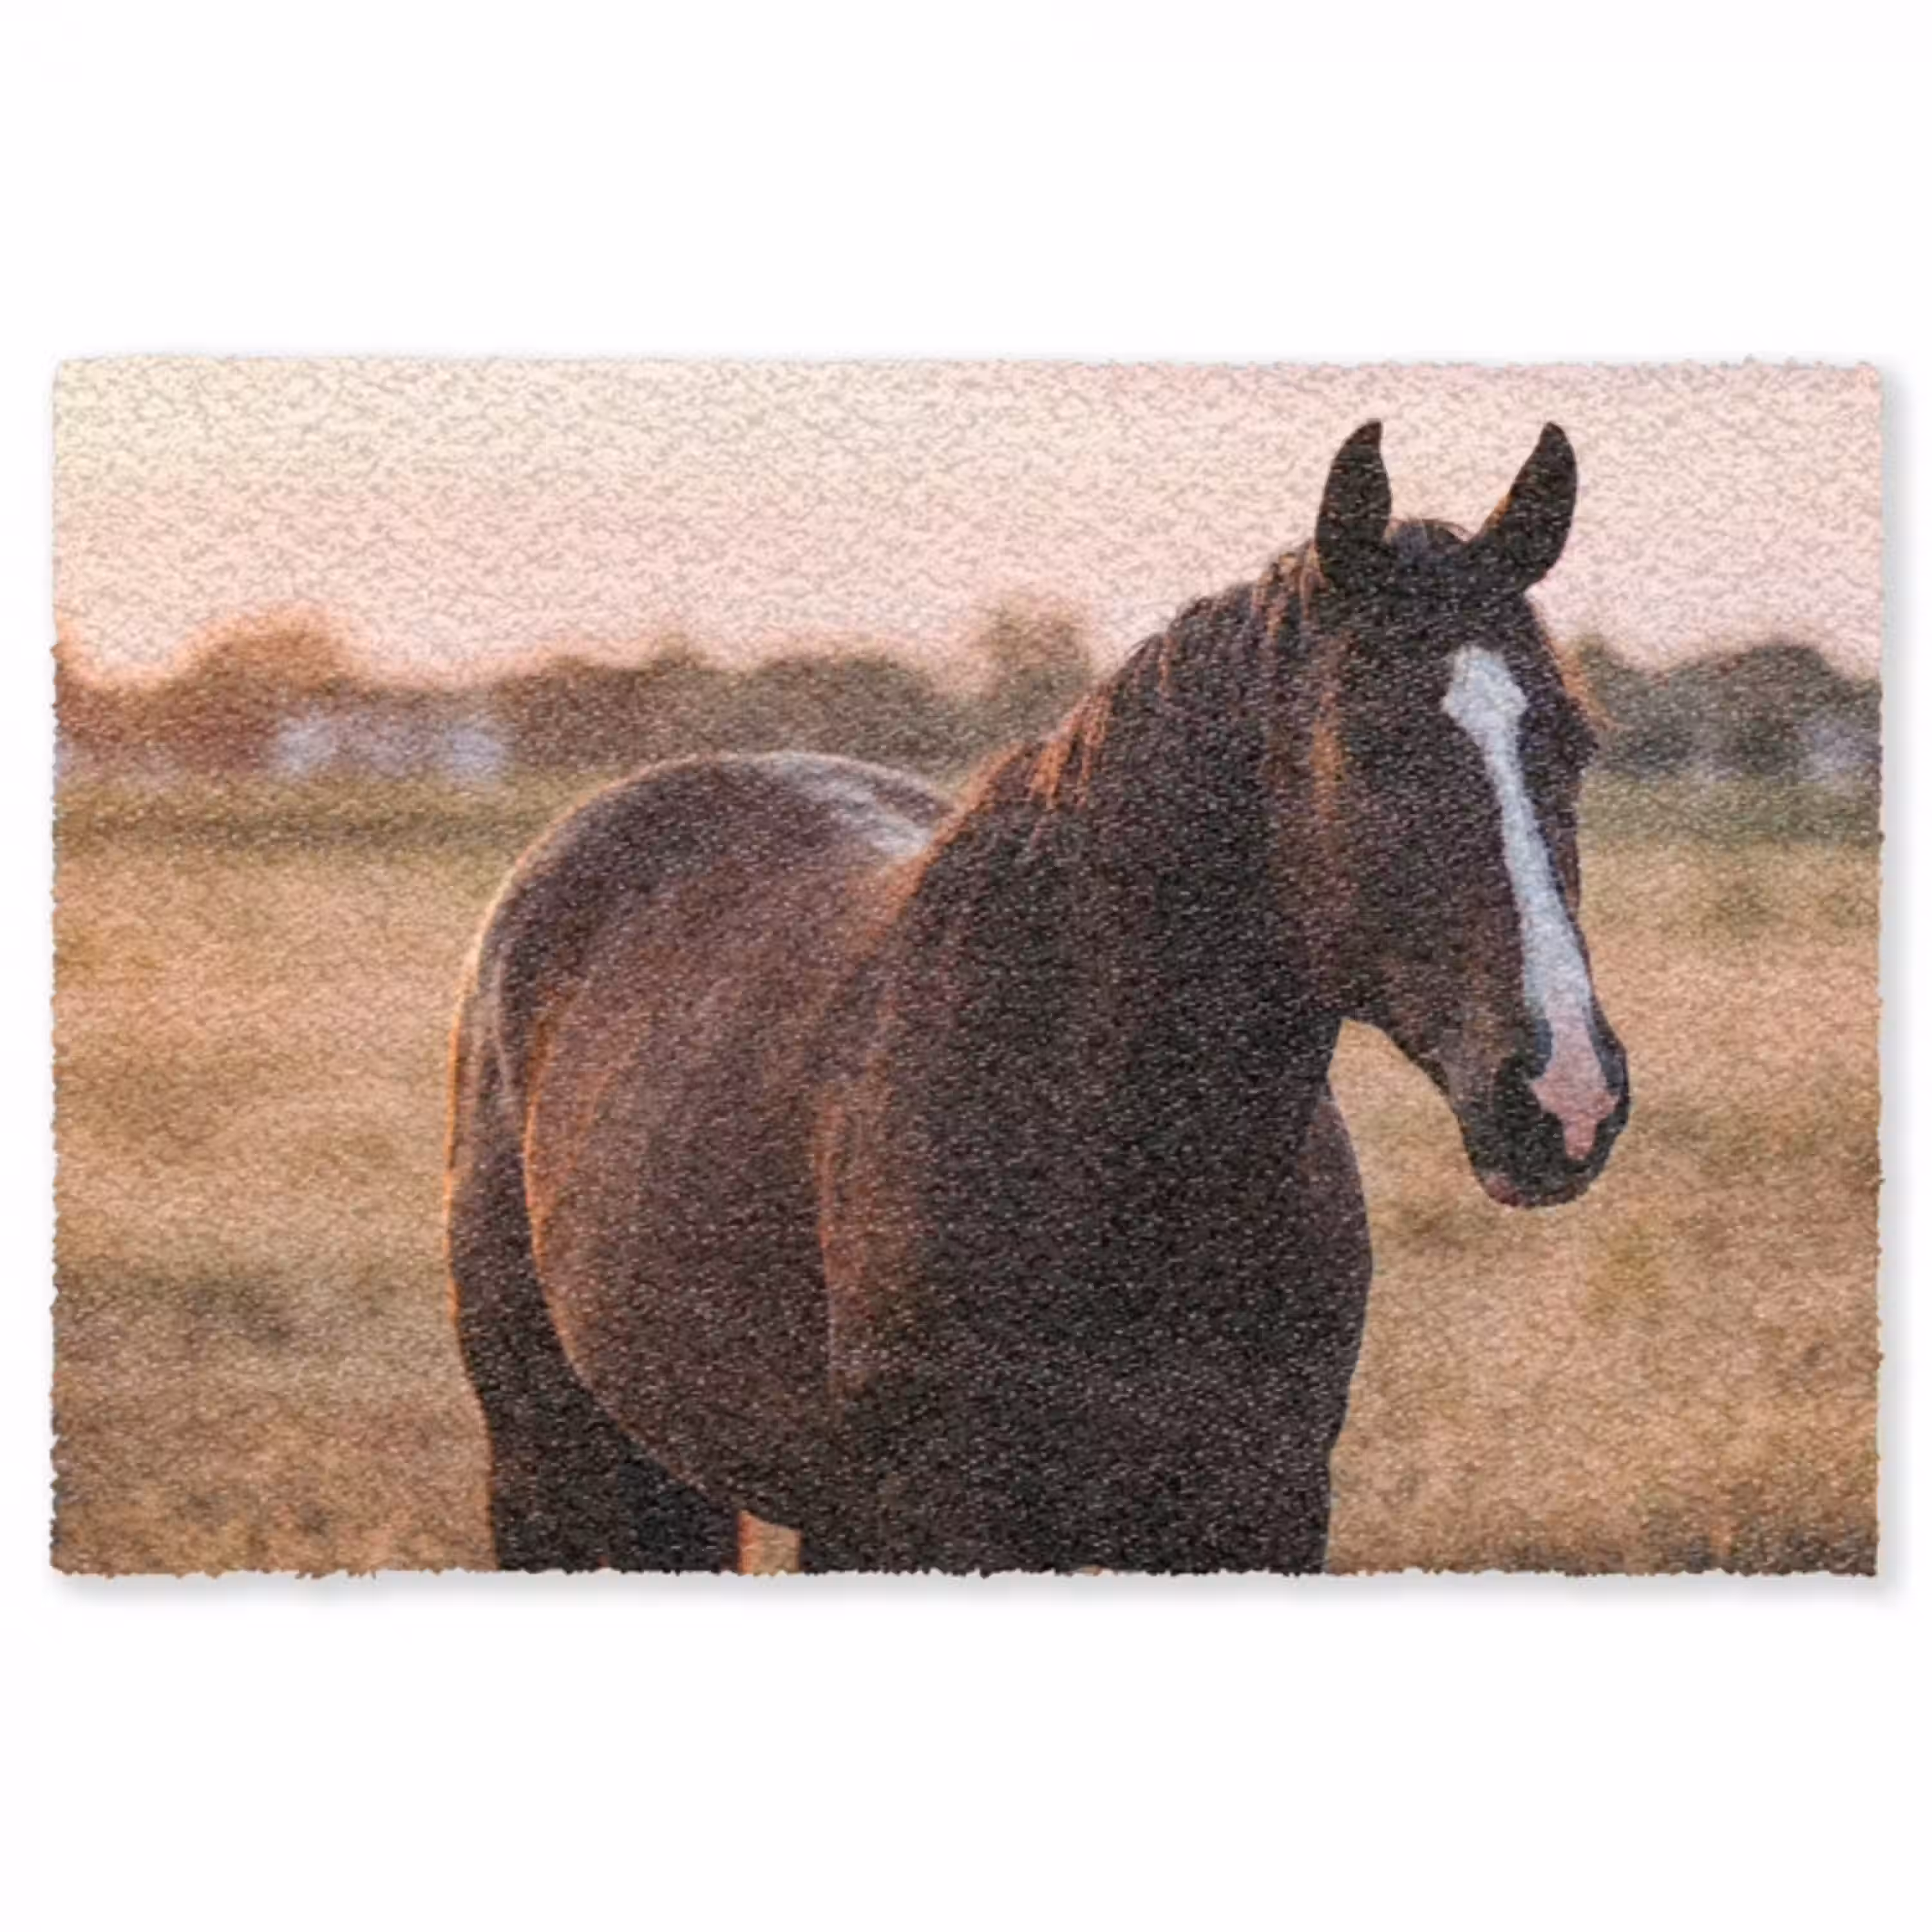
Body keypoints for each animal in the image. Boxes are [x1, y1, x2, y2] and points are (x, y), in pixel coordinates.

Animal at [445, 420, 1630, 1573]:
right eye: (1373, 748)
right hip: (550, 1459)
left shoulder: (1266, 1513)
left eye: (1573, 742)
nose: (1565, 1098)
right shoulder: (937, 1524)